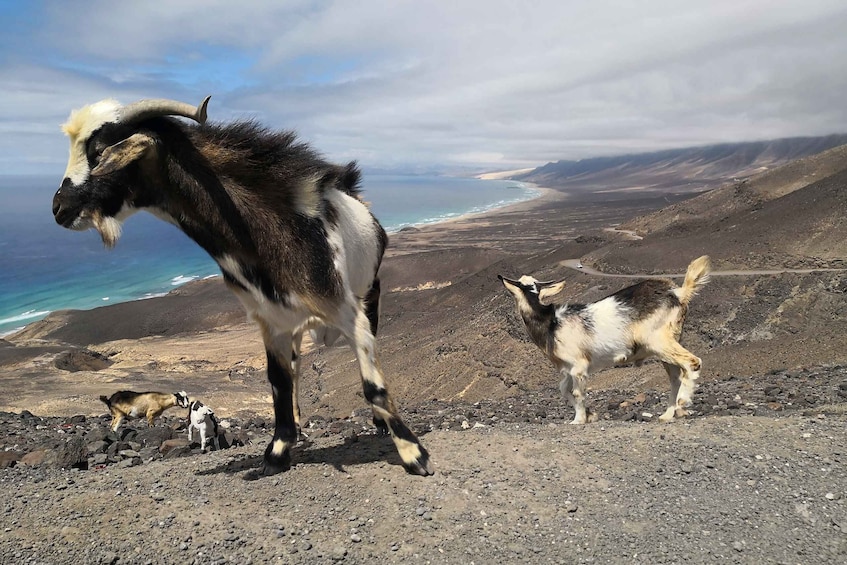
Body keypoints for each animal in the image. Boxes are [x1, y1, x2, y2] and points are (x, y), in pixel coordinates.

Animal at [54, 97, 430, 476]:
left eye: (99, 151)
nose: (59, 208)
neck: (269, 228)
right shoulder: (272, 320)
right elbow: (279, 381)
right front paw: (278, 451)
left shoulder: (347, 311)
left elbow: (373, 386)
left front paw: (413, 454)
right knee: (295, 371)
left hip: (371, 293)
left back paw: (379, 426)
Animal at [500, 256, 712, 424]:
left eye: (520, 285)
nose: (503, 279)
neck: (552, 323)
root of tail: (678, 293)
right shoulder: (568, 370)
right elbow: (564, 390)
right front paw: (590, 415)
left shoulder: (579, 365)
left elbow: (577, 393)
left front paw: (578, 420)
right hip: (667, 345)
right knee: (676, 377)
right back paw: (669, 414)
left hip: (659, 341)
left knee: (692, 362)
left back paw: (682, 402)